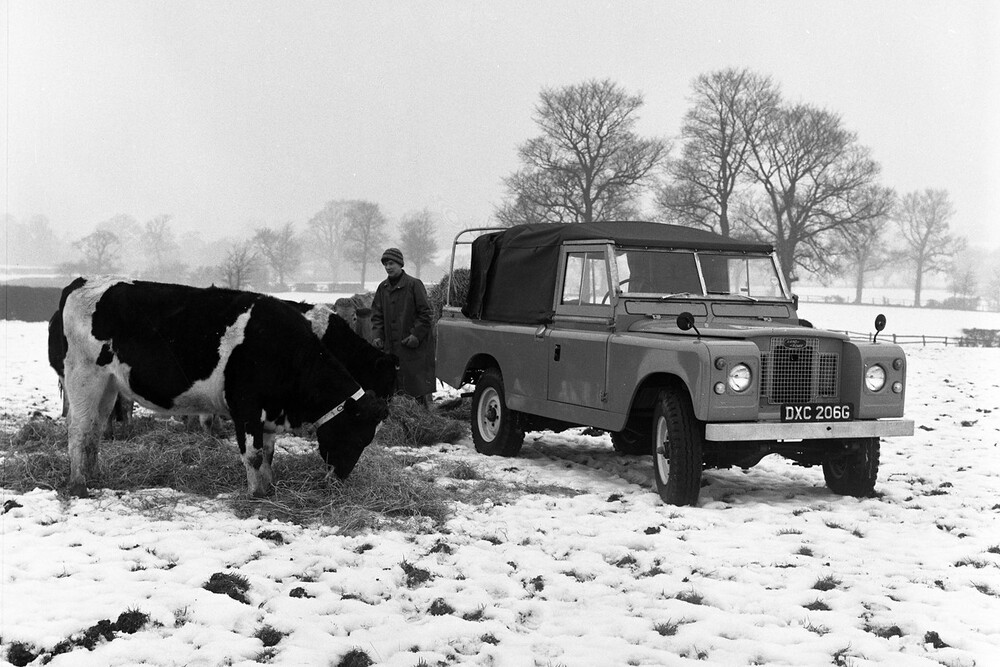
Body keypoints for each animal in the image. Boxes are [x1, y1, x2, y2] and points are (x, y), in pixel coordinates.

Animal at [52, 274, 390, 498]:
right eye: (356, 434)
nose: (340, 479)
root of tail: (82, 282)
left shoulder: (268, 412)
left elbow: (268, 454)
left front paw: (268, 488)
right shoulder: (246, 407)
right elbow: (253, 454)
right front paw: (256, 495)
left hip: (108, 386)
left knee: (95, 430)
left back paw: (95, 475)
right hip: (84, 378)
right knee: (79, 429)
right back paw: (79, 485)